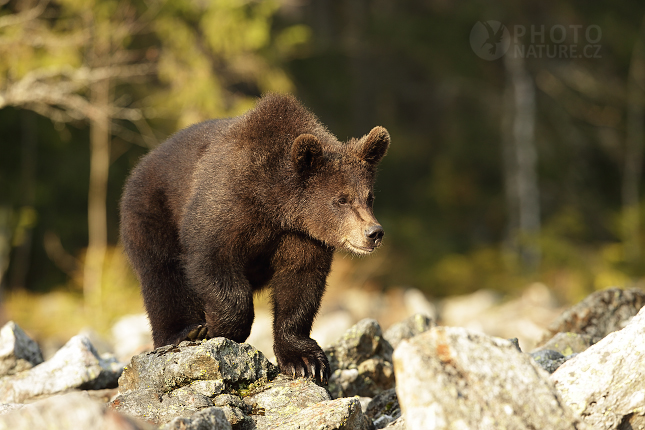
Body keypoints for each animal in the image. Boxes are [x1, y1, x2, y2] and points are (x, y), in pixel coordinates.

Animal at [121, 92, 390, 382]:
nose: (373, 233)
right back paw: (182, 331)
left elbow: (300, 285)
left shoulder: (301, 237)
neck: (274, 204)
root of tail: (143, 161)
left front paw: (305, 361)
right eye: (341, 199)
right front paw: (217, 329)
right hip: (152, 212)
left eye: (369, 197)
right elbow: (212, 262)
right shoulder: (226, 209)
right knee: (162, 276)